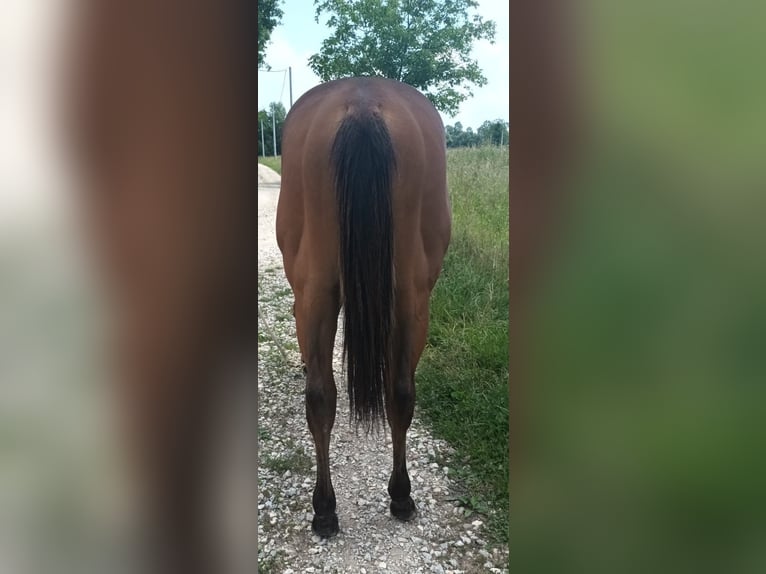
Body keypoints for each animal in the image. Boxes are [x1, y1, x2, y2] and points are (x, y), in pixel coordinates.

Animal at [276, 76, 452, 540]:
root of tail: (362, 103)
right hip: (410, 298)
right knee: (396, 392)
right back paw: (397, 497)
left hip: (317, 294)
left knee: (323, 395)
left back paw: (327, 508)